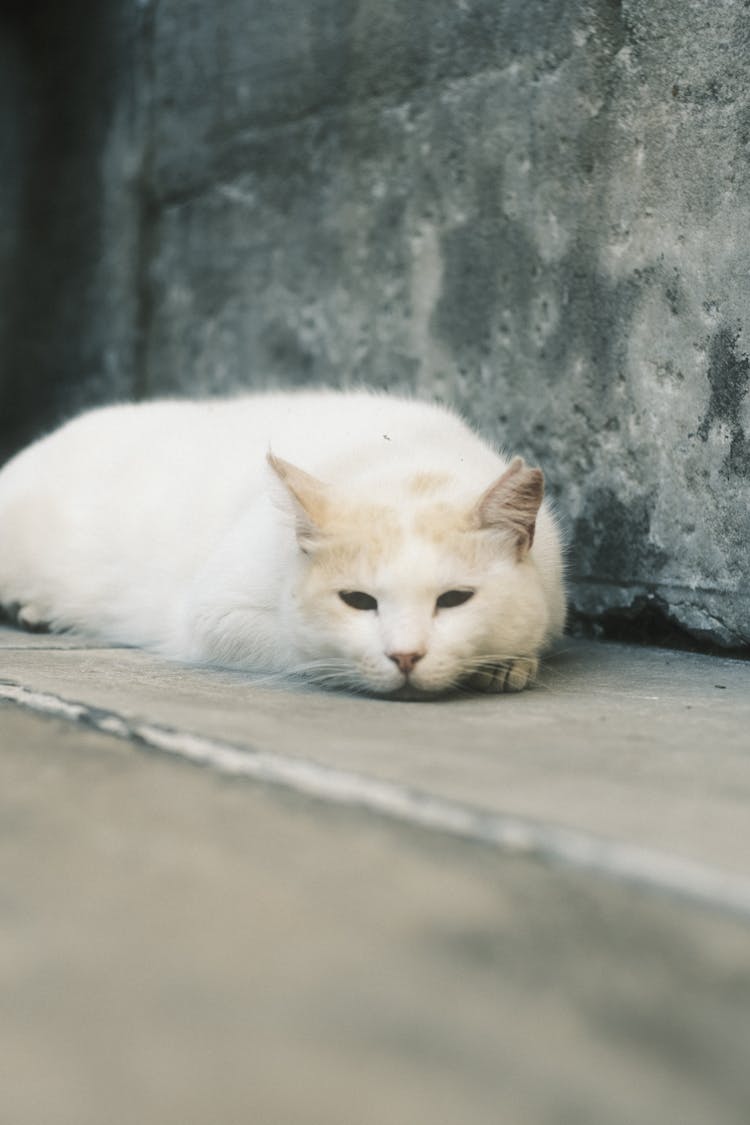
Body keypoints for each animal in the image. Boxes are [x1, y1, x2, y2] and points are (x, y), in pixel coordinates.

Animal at [0, 393, 562, 693]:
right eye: (358, 601)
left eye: (454, 599)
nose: (405, 657)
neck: (404, 462)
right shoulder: (214, 612)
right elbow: (298, 643)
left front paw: (507, 663)